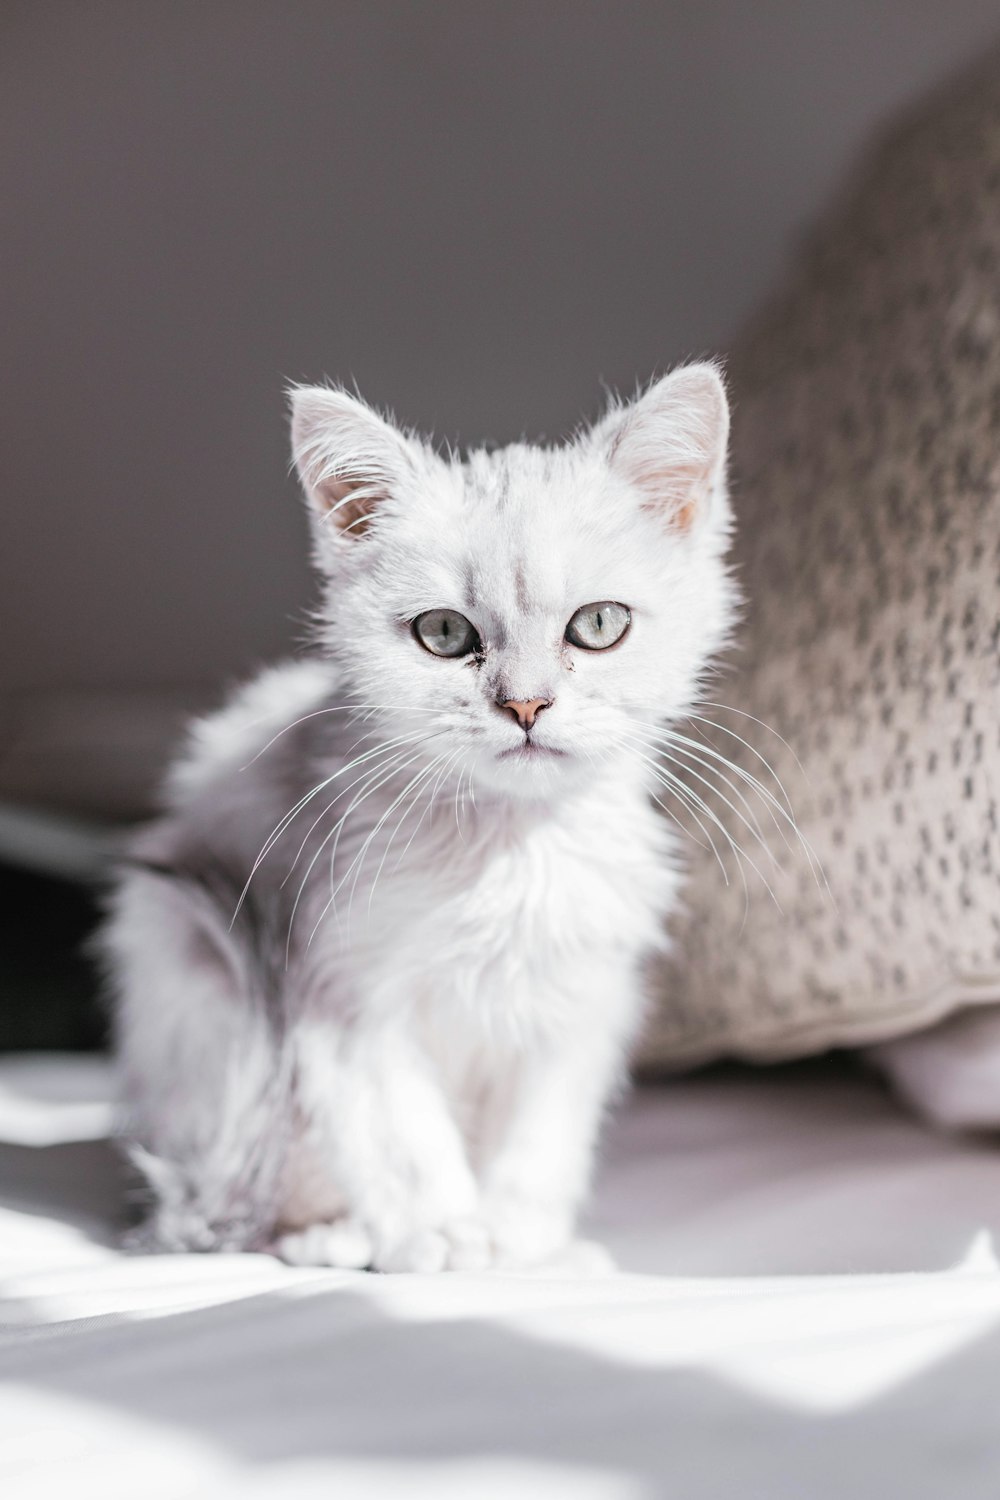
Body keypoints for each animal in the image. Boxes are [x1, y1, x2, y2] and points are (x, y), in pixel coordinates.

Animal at [99, 363, 734, 1266]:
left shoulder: (579, 1002)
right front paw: (445, 1234)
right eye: (443, 633)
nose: (526, 705)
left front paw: (525, 1242)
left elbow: (542, 1141)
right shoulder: (343, 995)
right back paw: (331, 1237)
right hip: (178, 962)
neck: (508, 851)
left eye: (599, 625)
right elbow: (402, 1134)